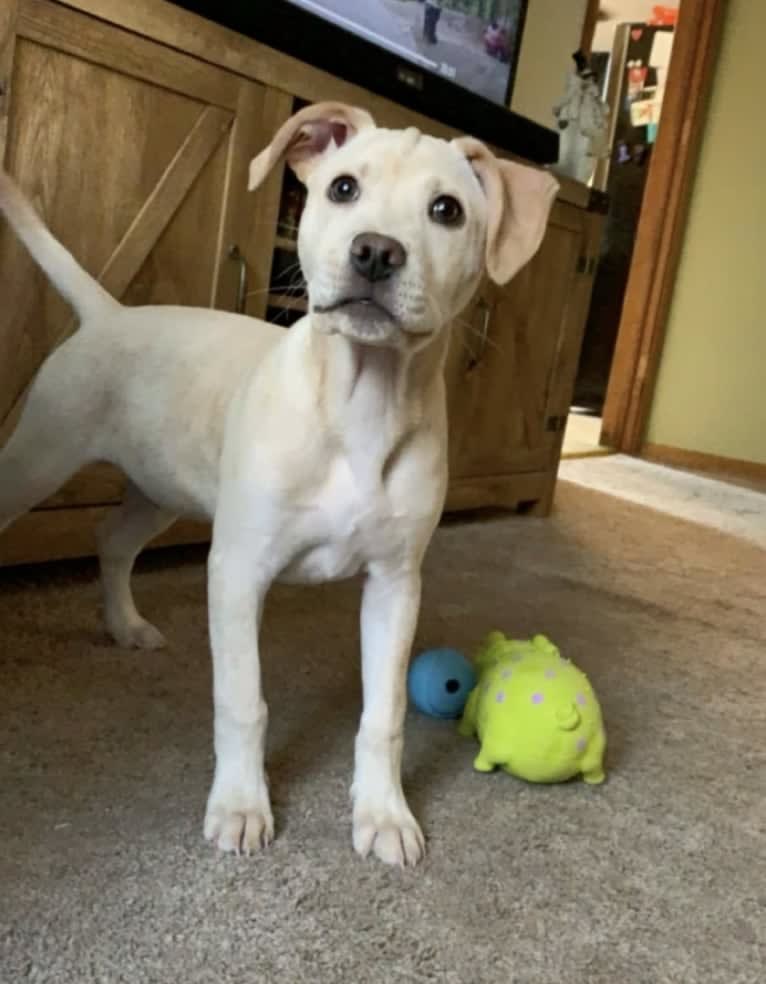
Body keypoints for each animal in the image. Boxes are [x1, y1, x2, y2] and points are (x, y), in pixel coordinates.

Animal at [0, 100, 560, 864]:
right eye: (344, 188)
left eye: (446, 209)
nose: (375, 252)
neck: (361, 404)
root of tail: (109, 314)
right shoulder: (239, 569)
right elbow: (244, 701)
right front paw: (241, 806)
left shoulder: (396, 584)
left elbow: (383, 713)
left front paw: (384, 813)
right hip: (41, 455)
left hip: (162, 486)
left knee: (112, 538)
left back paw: (125, 624)